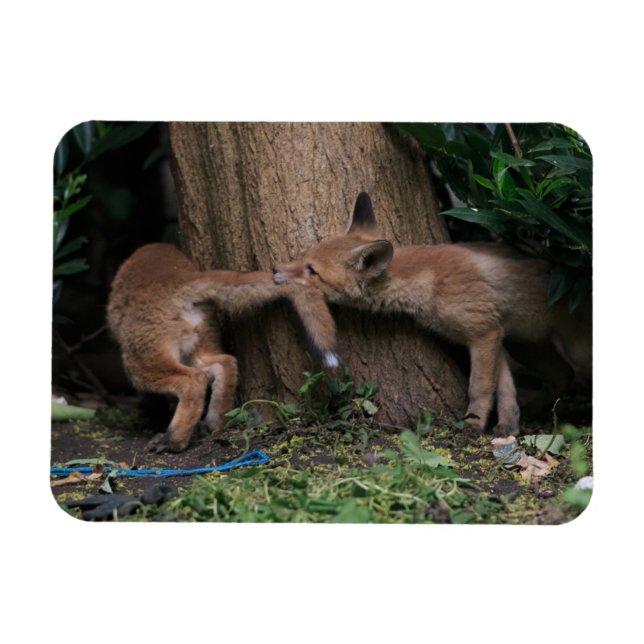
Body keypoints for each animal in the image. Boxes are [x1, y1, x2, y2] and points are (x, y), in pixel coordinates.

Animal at [107, 243, 339, 453]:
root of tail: (182, 278)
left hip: (139, 363)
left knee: (194, 381)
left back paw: (173, 441)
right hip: (197, 350)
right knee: (225, 363)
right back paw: (217, 422)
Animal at [272, 192, 591, 436]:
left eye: (312, 271)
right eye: (304, 257)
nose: (275, 269)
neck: (429, 281)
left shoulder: (483, 333)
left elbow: (480, 388)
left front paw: (473, 425)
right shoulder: (495, 334)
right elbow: (505, 389)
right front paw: (508, 428)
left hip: (576, 348)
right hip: (526, 345)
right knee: (561, 375)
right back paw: (537, 410)